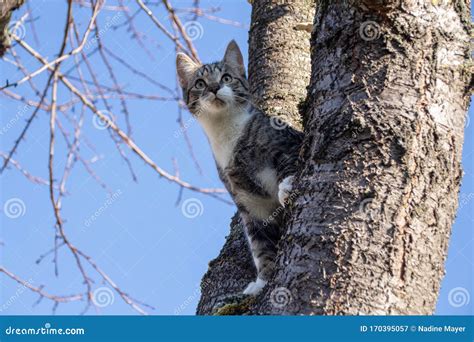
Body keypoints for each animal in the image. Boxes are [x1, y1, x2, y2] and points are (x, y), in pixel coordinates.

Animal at [176, 41, 302, 296]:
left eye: (226, 77)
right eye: (200, 83)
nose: (214, 87)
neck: (226, 134)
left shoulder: (284, 141)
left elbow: (289, 161)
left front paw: (286, 185)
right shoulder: (247, 201)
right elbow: (259, 245)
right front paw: (262, 281)